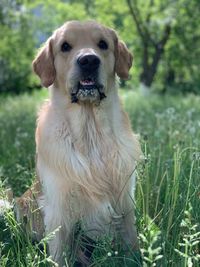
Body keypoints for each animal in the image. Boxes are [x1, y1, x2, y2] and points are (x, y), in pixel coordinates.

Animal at [19, 20, 142, 266]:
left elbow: (131, 242)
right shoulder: (58, 209)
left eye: (102, 44)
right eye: (65, 46)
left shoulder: (125, 199)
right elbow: (59, 252)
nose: (88, 60)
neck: (90, 132)